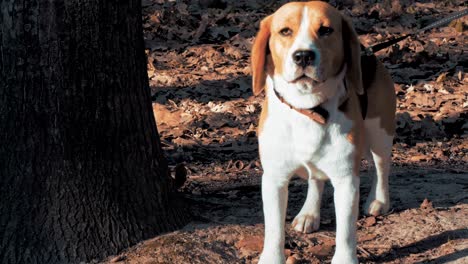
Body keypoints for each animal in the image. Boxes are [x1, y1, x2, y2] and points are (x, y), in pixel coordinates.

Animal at [250, 1, 396, 262]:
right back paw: (309, 213)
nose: (303, 56)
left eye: (326, 30)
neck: (308, 108)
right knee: (316, 180)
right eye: (285, 31)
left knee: (382, 168)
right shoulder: (274, 179)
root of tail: (369, 53)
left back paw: (378, 200)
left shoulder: (346, 180)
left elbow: (345, 232)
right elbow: (274, 230)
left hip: (380, 134)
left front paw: (345, 259)